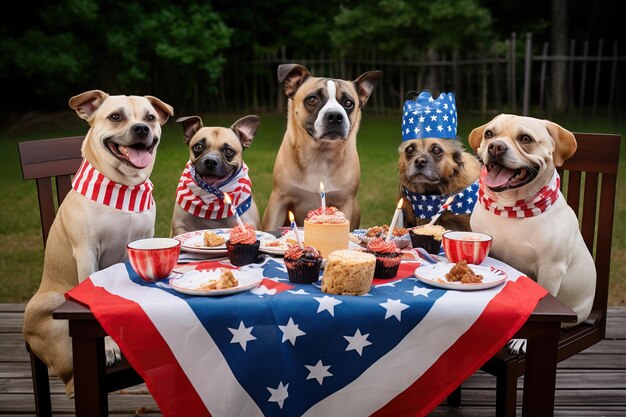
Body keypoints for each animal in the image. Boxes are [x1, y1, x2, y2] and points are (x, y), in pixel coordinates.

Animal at [22, 88, 173, 396]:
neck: (125, 187)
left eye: (150, 118)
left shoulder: (143, 242)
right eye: (115, 117)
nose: (141, 128)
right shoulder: (87, 252)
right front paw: (109, 346)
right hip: (51, 302)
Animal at [260, 64, 380, 231]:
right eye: (312, 99)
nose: (335, 116)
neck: (320, 154)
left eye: (348, 103)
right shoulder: (279, 200)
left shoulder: (346, 203)